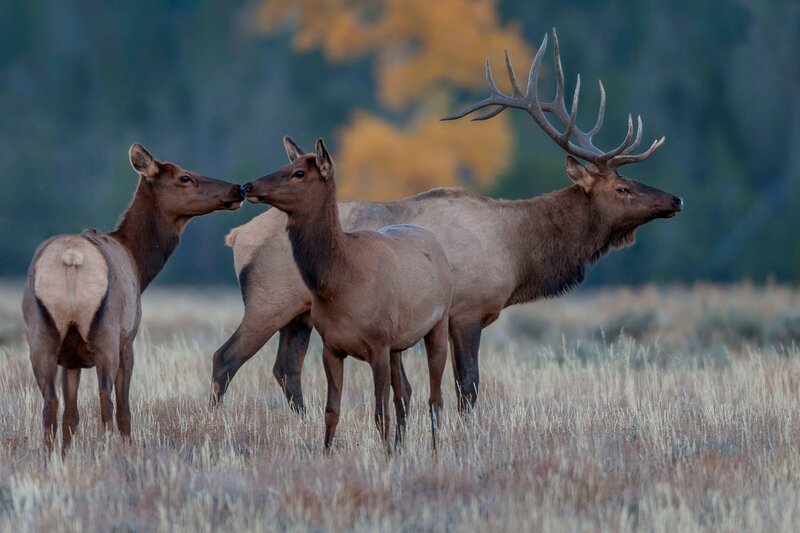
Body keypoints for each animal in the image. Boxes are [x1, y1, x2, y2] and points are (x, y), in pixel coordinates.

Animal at [22, 144, 244, 453]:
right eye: (184, 177)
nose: (238, 189)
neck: (138, 262)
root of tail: (71, 257)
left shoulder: (71, 358)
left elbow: (71, 414)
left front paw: (66, 453)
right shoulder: (128, 341)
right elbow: (124, 408)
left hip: (41, 334)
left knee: (50, 402)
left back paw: (50, 454)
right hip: (107, 333)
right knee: (107, 400)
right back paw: (109, 451)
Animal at [212, 28, 683, 414]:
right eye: (622, 188)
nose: (675, 199)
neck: (516, 252)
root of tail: (235, 236)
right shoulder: (466, 311)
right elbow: (468, 387)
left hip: (300, 315)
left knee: (285, 370)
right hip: (268, 301)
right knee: (225, 358)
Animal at [241, 137, 453, 451]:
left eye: (299, 173)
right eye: (285, 164)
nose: (248, 186)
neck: (340, 284)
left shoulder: (378, 343)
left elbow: (380, 413)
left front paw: (386, 455)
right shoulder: (331, 346)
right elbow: (332, 411)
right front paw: (328, 453)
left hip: (439, 322)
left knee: (434, 398)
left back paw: (435, 450)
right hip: (398, 343)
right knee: (405, 392)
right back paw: (402, 445)